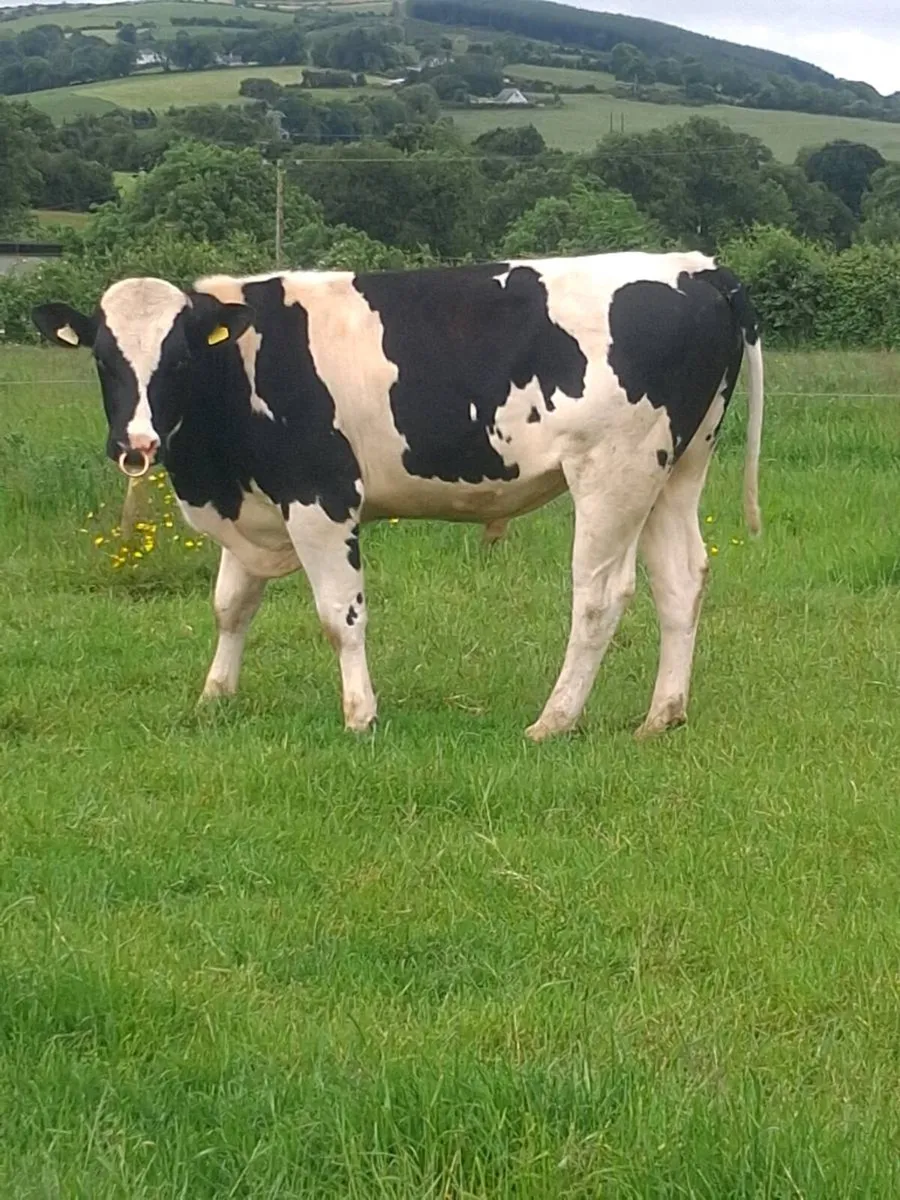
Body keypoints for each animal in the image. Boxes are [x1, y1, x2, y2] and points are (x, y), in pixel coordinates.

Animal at [32, 250, 764, 741]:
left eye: (179, 359)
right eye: (103, 359)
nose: (135, 443)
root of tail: (696, 267)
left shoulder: (320, 497)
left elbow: (340, 614)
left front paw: (360, 715)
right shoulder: (255, 503)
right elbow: (230, 606)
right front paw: (215, 697)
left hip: (615, 471)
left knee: (601, 595)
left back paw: (553, 720)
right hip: (677, 469)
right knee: (681, 579)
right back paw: (662, 716)